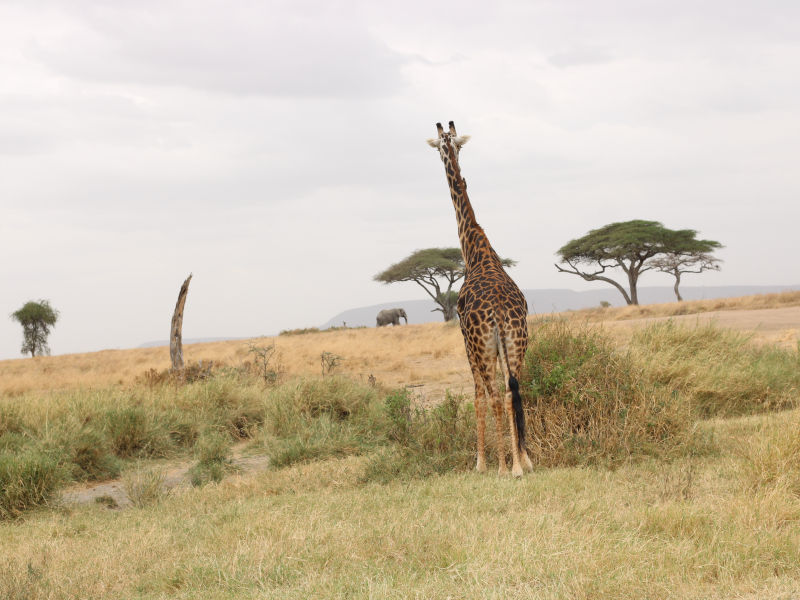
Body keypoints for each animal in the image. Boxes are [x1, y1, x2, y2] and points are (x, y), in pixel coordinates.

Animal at [424, 122, 532, 478]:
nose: (448, 152)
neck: (476, 252)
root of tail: (498, 312)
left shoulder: (467, 341)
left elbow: (477, 397)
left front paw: (480, 463)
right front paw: (519, 458)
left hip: (484, 345)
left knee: (495, 396)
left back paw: (503, 468)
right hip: (516, 341)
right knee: (514, 391)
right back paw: (522, 463)